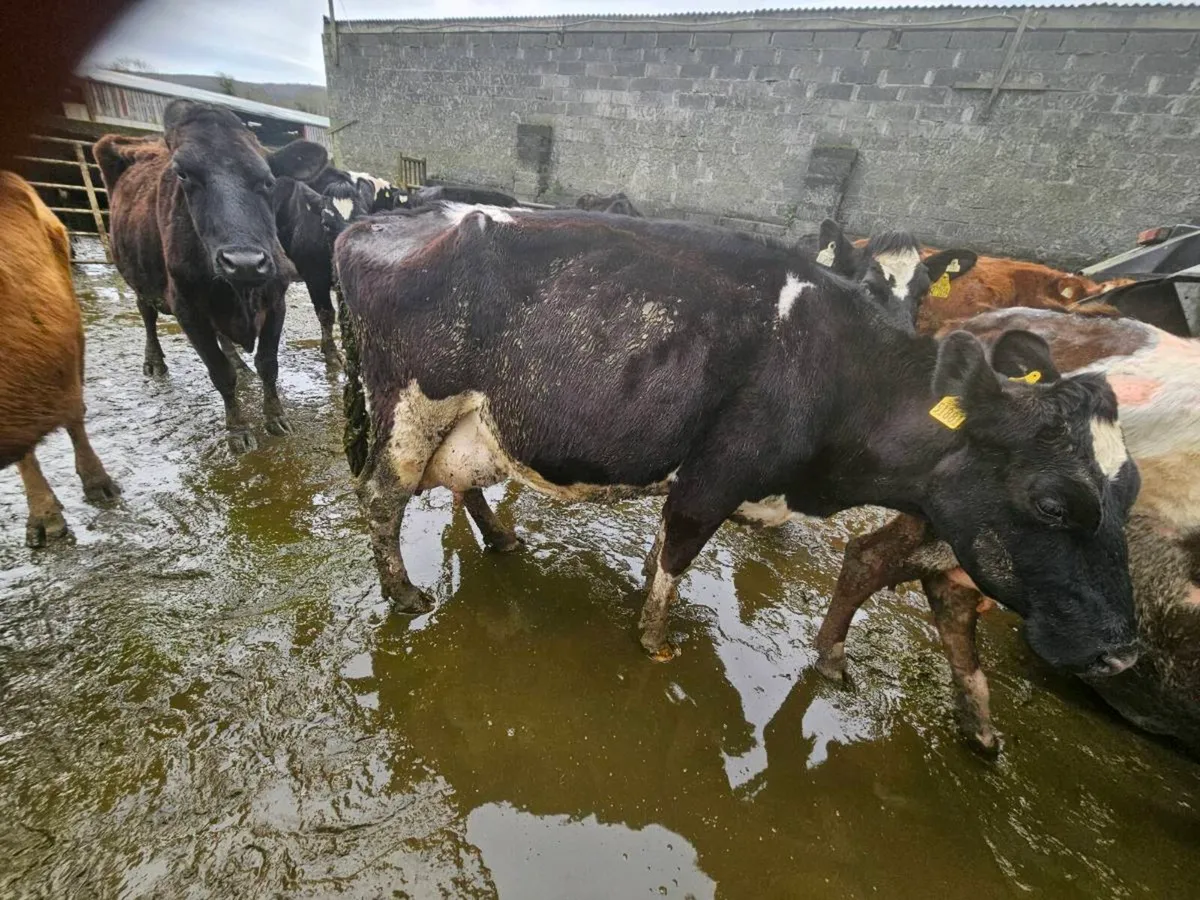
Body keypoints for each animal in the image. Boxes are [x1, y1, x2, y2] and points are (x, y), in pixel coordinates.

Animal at [94, 100, 328, 452]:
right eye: (184, 175)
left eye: (268, 181)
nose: (244, 262)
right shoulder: (187, 308)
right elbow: (219, 372)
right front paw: (238, 431)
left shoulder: (276, 299)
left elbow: (268, 364)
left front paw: (276, 417)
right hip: (136, 275)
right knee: (146, 313)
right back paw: (155, 362)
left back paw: (240, 365)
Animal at [333, 202, 1140, 678]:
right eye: (1053, 503)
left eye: (1129, 495)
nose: (1125, 651)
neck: (840, 369)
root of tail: (376, 223)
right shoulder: (717, 473)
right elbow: (680, 551)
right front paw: (653, 639)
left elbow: (666, 549)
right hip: (411, 403)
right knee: (381, 493)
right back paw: (404, 594)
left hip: (478, 416)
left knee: (464, 476)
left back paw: (500, 538)